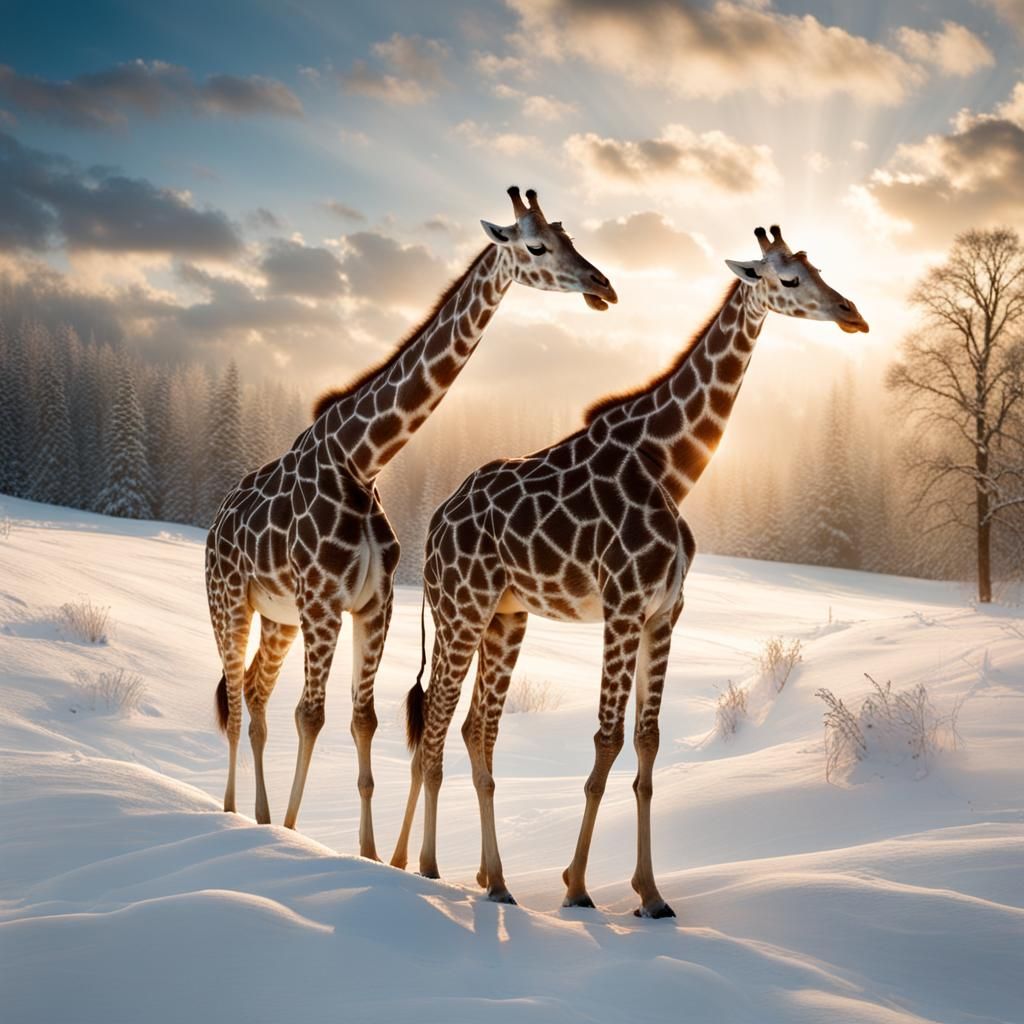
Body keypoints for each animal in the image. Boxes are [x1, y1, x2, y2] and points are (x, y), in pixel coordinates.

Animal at [205, 187, 617, 860]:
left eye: (570, 238)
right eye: (536, 246)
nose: (601, 285)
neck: (361, 458)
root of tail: (215, 525)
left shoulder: (373, 603)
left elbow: (363, 719)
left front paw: (370, 854)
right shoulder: (324, 599)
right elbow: (312, 714)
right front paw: (295, 832)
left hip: (278, 616)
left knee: (257, 695)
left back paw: (258, 816)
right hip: (229, 601)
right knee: (239, 702)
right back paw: (234, 813)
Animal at [391, 224, 868, 914]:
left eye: (817, 268)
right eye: (789, 278)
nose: (853, 313)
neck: (666, 464)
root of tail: (430, 528)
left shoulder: (664, 612)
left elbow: (647, 743)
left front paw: (651, 893)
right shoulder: (621, 606)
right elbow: (606, 741)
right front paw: (577, 888)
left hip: (505, 618)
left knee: (476, 727)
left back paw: (492, 879)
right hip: (461, 611)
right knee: (435, 722)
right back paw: (426, 868)